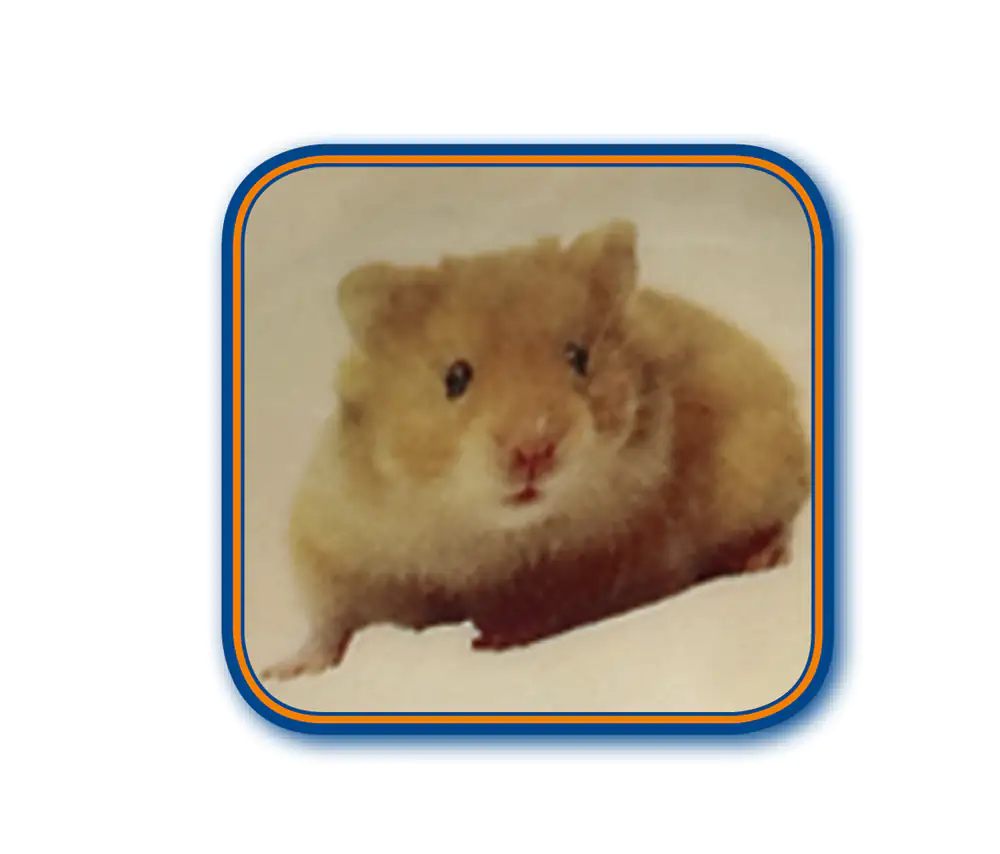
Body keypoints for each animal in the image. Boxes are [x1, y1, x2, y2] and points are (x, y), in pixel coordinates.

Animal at [259, 220, 810, 681]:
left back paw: (763, 558)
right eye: (455, 377)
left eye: (579, 357)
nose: (535, 451)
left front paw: (492, 639)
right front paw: (285, 670)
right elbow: (330, 622)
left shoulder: (608, 563)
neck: (489, 533)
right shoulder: (331, 542)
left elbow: (546, 607)